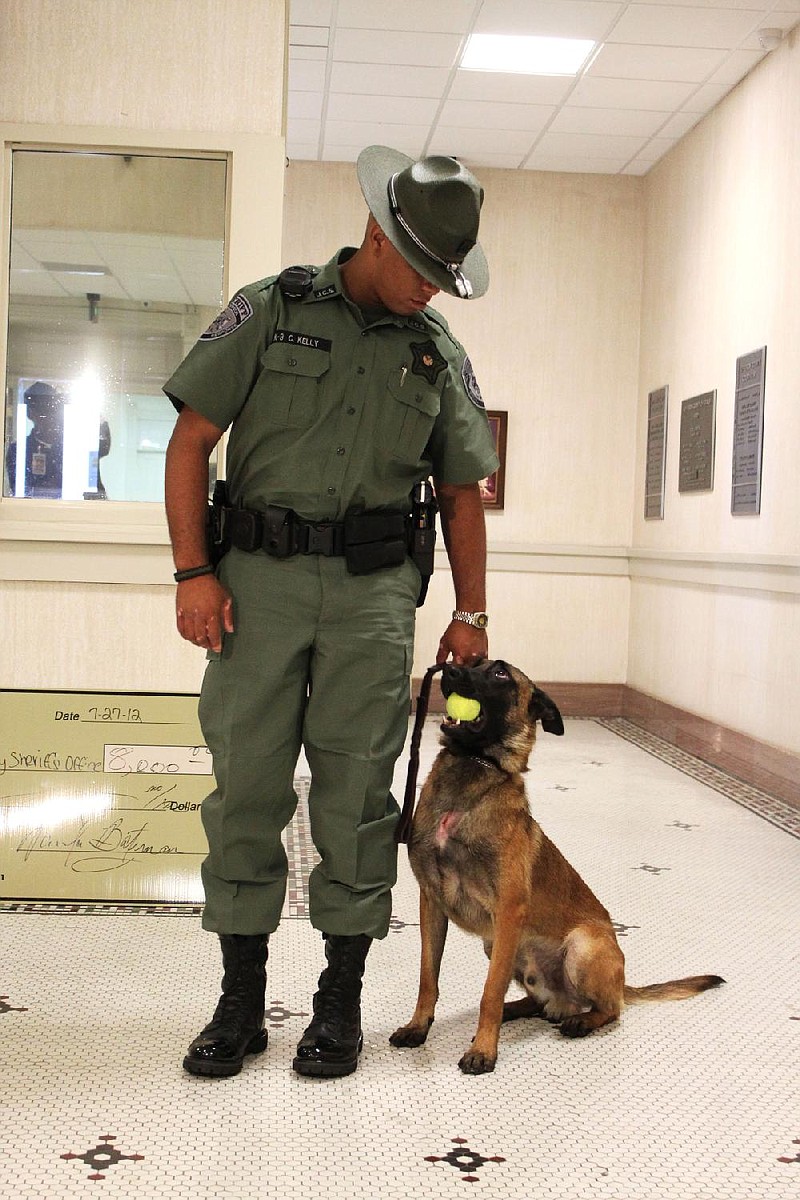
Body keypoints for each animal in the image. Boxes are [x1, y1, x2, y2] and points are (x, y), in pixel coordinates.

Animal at [388, 662, 724, 1075]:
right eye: (471, 664)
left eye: (499, 674)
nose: (447, 669)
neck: (473, 772)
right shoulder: (433, 905)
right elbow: (428, 979)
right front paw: (418, 1026)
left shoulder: (508, 913)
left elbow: (489, 991)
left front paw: (484, 1050)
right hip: (500, 945)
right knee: (538, 1001)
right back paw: (519, 1009)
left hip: (580, 946)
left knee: (612, 1009)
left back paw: (579, 1020)